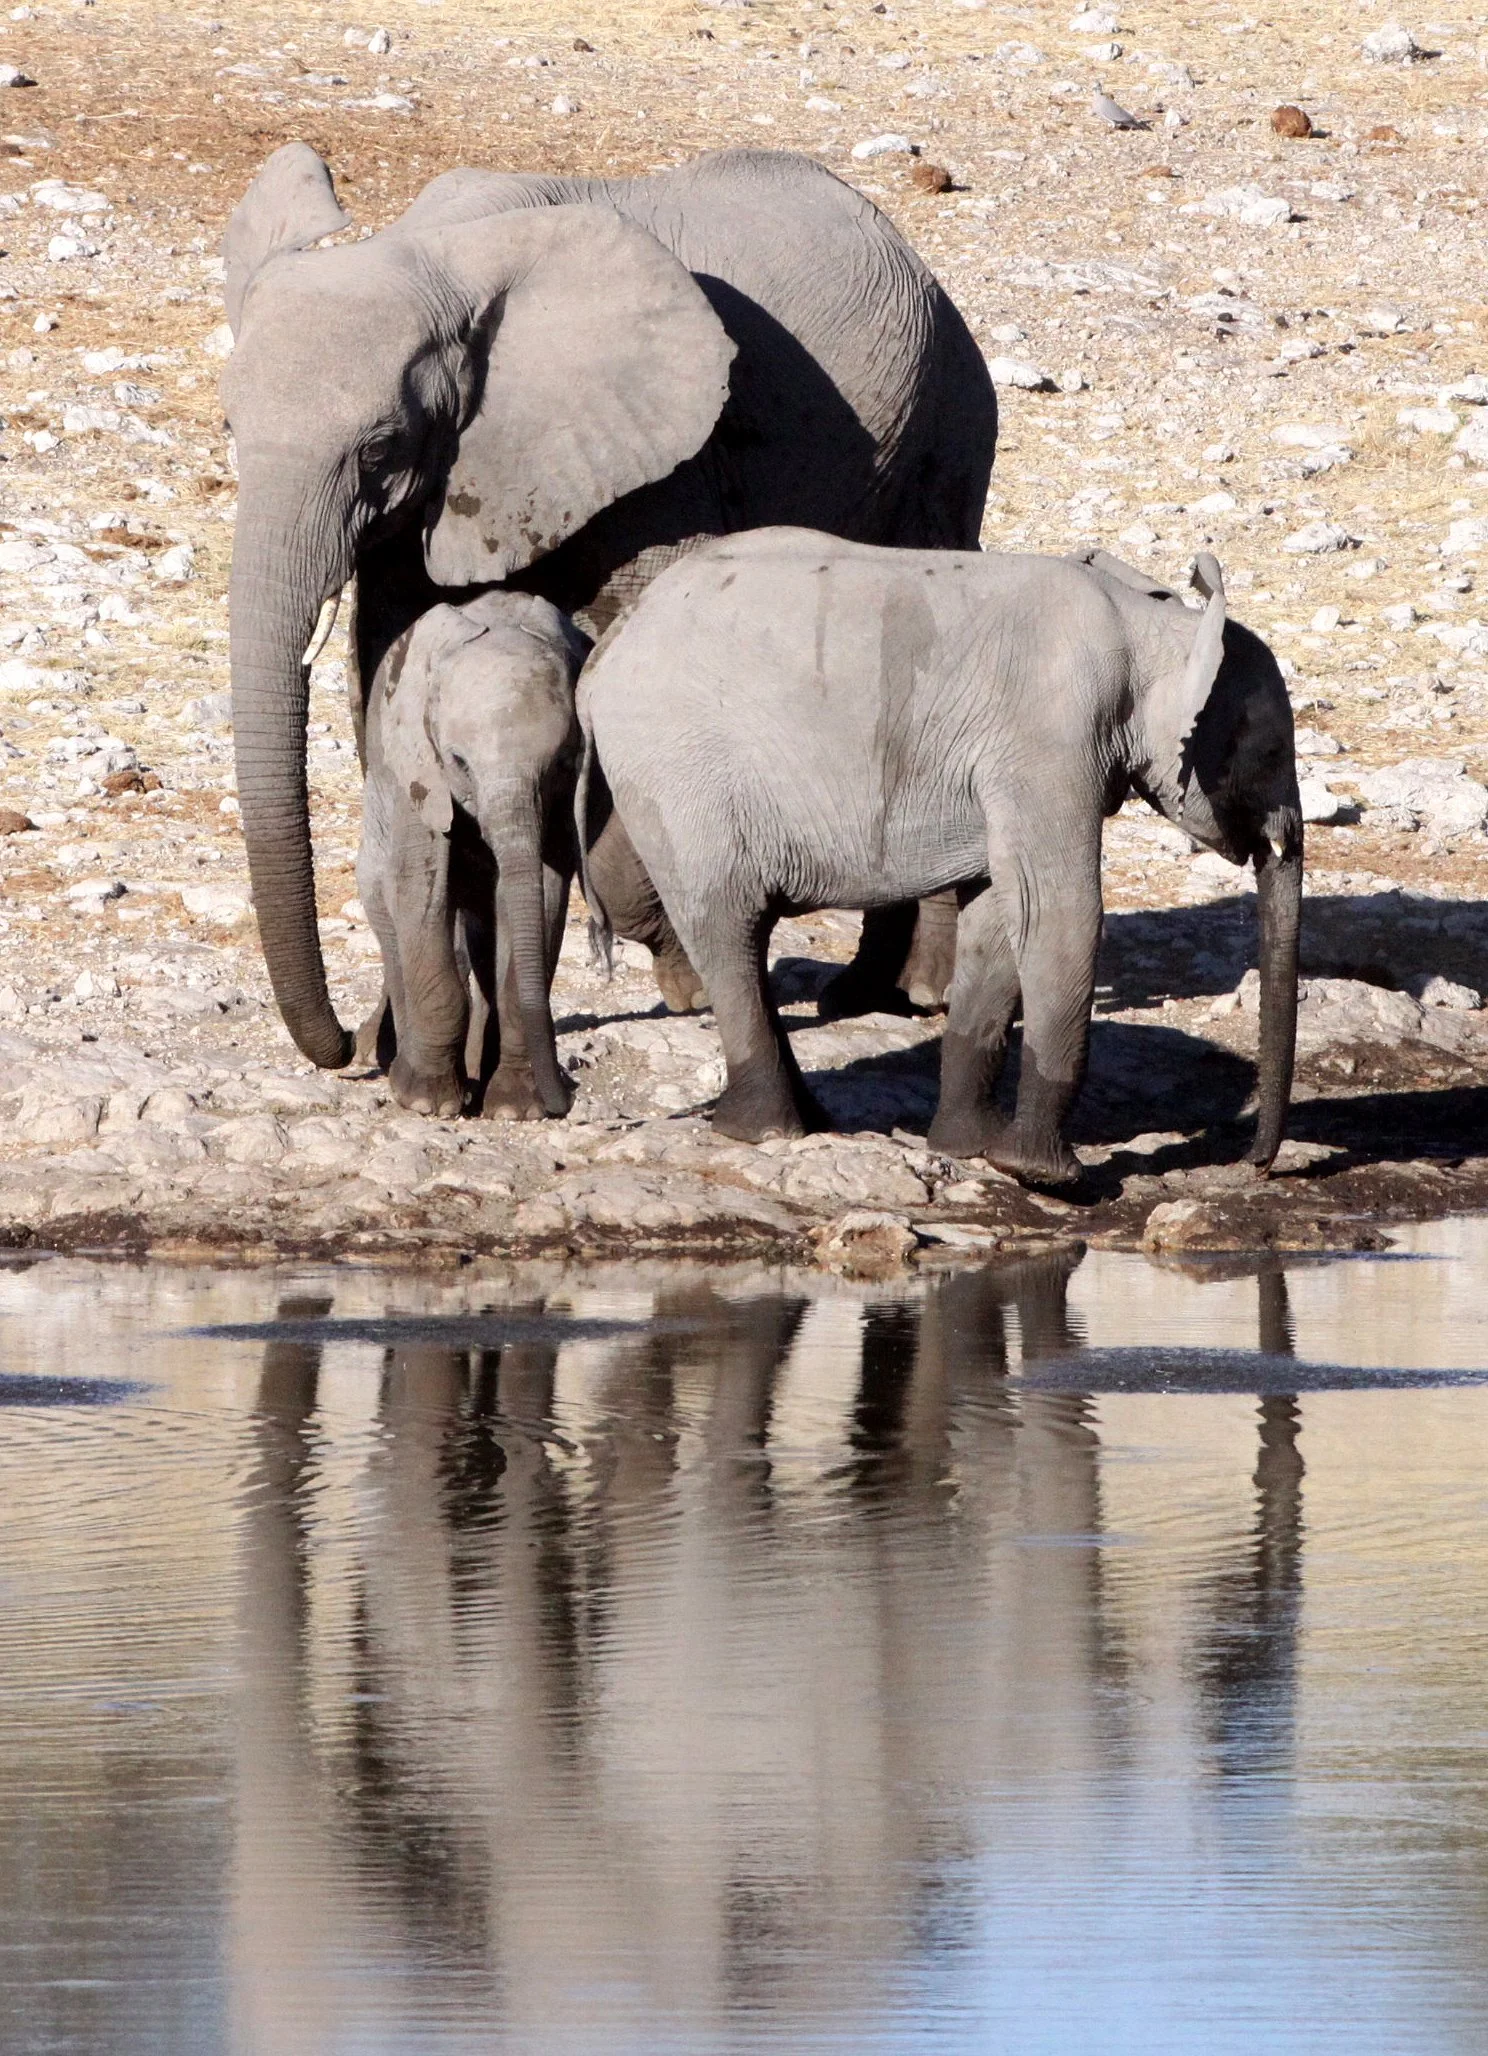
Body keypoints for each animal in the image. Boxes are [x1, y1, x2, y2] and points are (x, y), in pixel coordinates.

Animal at [358, 591, 589, 1122]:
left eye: (562, 762)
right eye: (459, 762)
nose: (566, 1099)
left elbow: (543, 895)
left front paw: (516, 1109)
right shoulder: (418, 772)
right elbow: (420, 886)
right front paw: (426, 1101)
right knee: (391, 916)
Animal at [576, 533, 1302, 1183]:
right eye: (1270, 753)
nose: (1252, 1166)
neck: (1150, 627)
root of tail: (604, 650)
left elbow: (1002, 917)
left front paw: (969, 1149)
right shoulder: (1049, 741)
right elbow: (1057, 913)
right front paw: (1046, 1177)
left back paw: (807, 1121)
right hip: (676, 778)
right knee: (727, 927)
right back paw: (767, 1131)